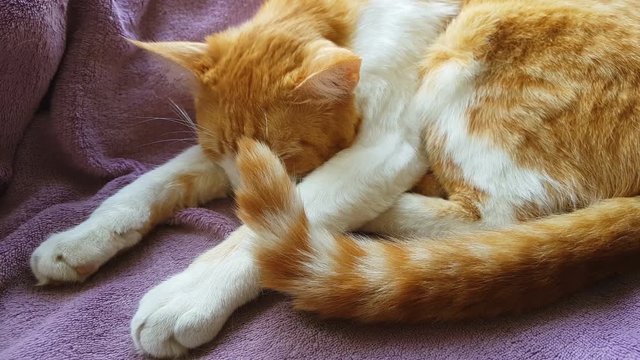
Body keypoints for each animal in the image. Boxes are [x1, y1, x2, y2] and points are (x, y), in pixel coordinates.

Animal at [31, 0, 640, 358]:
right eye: (220, 150)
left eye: (285, 153)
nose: (239, 193)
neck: (345, 14)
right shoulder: (223, 158)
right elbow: (157, 180)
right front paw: (81, 239)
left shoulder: (381, 147)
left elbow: (267, 224)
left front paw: (189, 296)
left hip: (469, 52)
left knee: (504, 219)